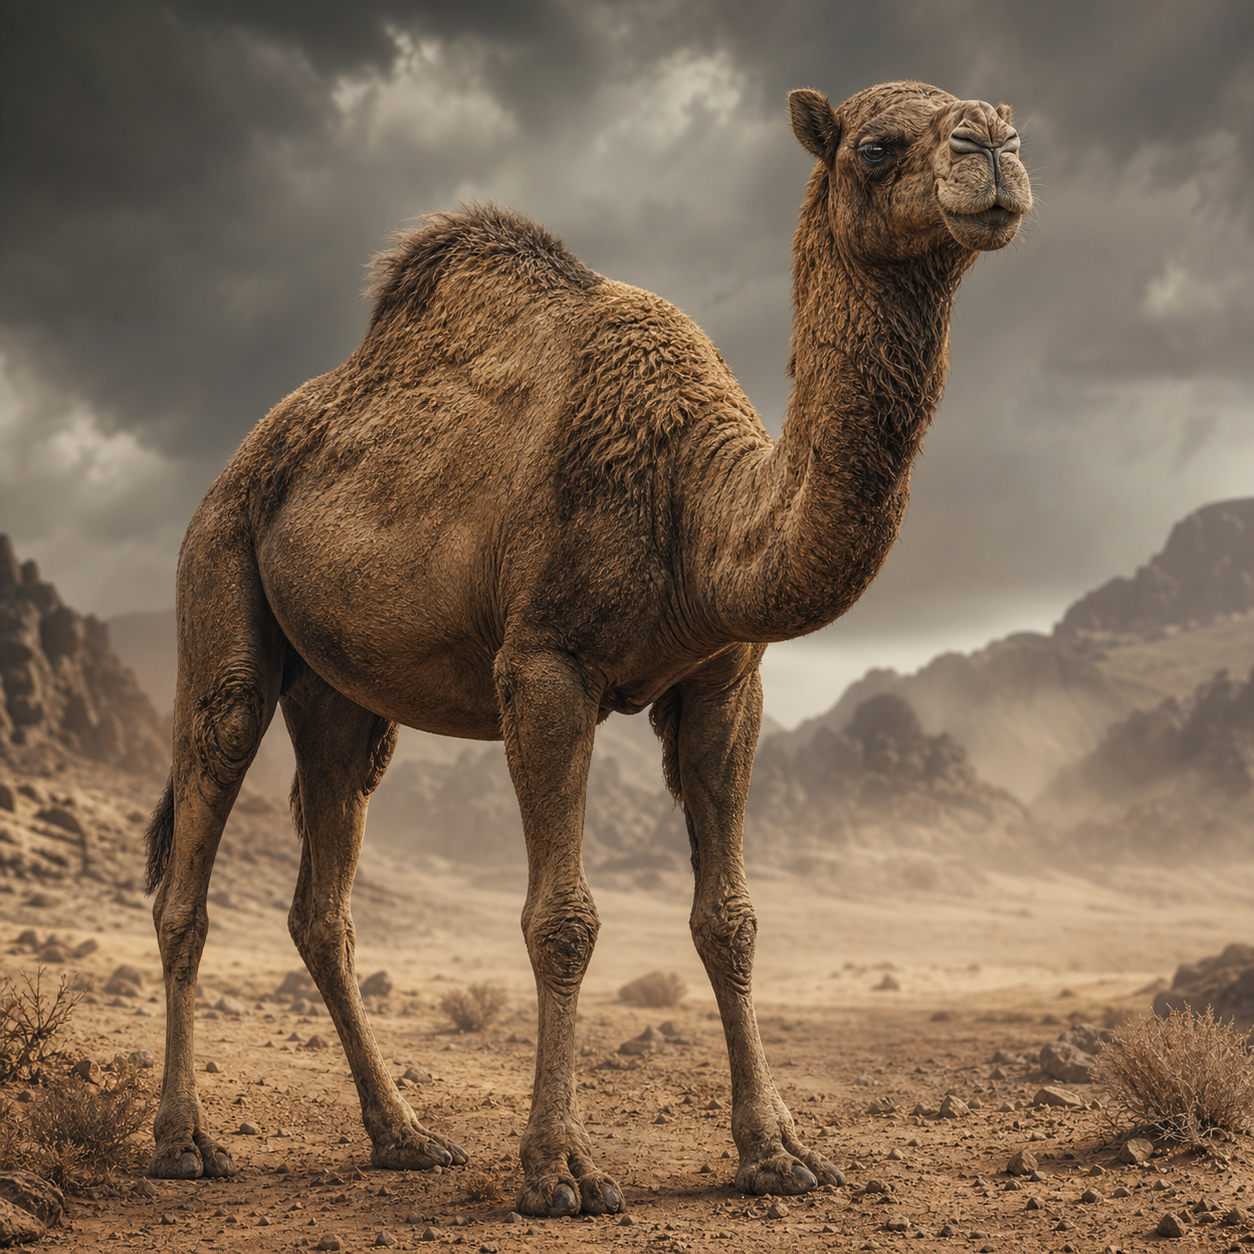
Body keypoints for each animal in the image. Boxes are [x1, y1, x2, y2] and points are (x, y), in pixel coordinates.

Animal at [144, 80, 1031, 1215]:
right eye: (876, 147)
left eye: (1004, 119)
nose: (992, 145)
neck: (693, 502)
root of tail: (239, 463)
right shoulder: (544, 666)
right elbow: (561, 919)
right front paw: (560, 1168)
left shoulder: (724, 680)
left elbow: (729, 917)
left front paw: (778, 1154)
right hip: (219, 580)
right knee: (194, 849)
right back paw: (183, 1143)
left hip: (343, 698)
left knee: (323, 900)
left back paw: (404, 1136)